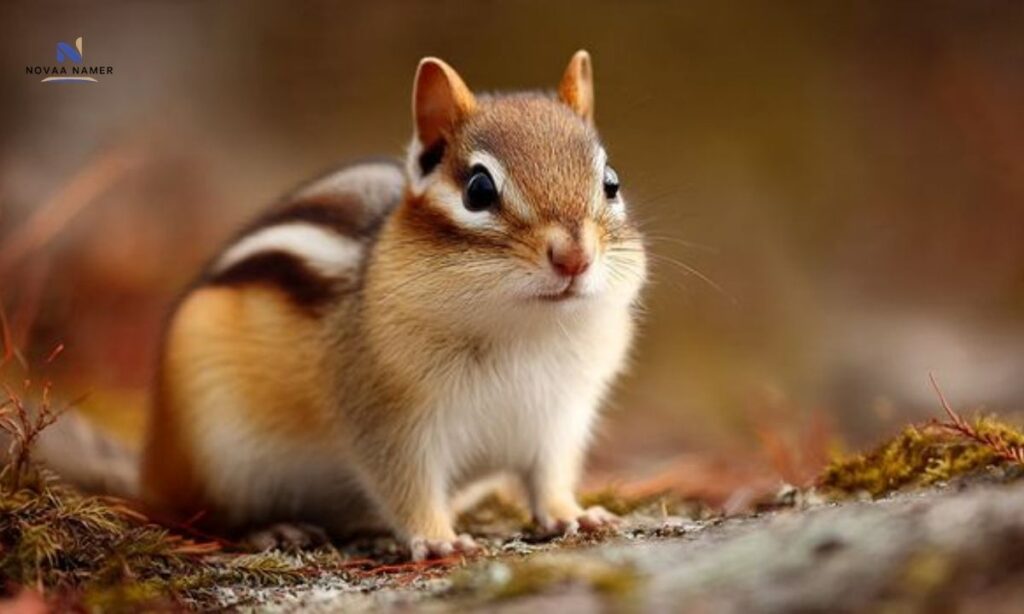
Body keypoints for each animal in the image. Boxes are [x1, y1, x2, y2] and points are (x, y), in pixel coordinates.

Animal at [139, 50, 647, 560]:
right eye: (479, 190)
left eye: (611, 182)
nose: (574, 257)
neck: (526, 332)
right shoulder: (389, 422)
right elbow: (407, 487)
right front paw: (438, 539)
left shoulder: (561, 420)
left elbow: (550, 479)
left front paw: (573, 514)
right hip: (213, 452)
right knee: (211, 514)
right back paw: (273, 529)